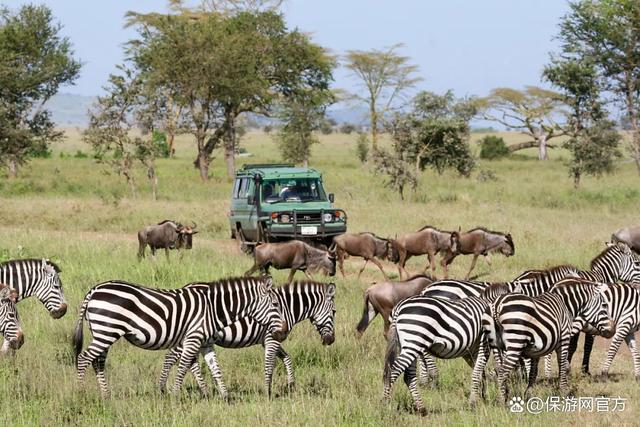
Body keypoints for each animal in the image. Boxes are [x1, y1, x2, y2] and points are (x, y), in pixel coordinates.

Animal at [72, 276, 288, 400]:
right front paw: (175, 397)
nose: (283, 332)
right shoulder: (193, 338)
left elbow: (215, 369)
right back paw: (81, 395)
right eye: (276, 304)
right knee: (83, 359)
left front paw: (226, 398)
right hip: (106, 331)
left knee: (98, 362)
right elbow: (183, 367)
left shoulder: (205, 342)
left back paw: (106, 395)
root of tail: (94, 290)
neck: (213, 309)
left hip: (103, 332)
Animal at [158, 280, 338, 398]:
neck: (287, 308)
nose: (331, 341)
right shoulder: (272, 339)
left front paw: (291, 385)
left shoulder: (269, 340)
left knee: (189, 361)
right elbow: (269, 366)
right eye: (335, 312)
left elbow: (287, 358)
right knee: (171, 356)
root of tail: (185, 288)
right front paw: (268, 394)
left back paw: (205, 392)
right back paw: (162, 389)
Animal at [484, 280, 616, 406]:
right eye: (604, 305)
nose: (613, 330)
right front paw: (564, 392)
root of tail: (497, 305)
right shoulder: (564, 339)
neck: (566, 304)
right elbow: (562, 365)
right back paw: (502, 402)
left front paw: (529, 395)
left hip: (497, 345)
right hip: (515, 342)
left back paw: (504, 395)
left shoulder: (535, 351)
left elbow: (533, 372)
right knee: (502, 372)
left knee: (498, 368)